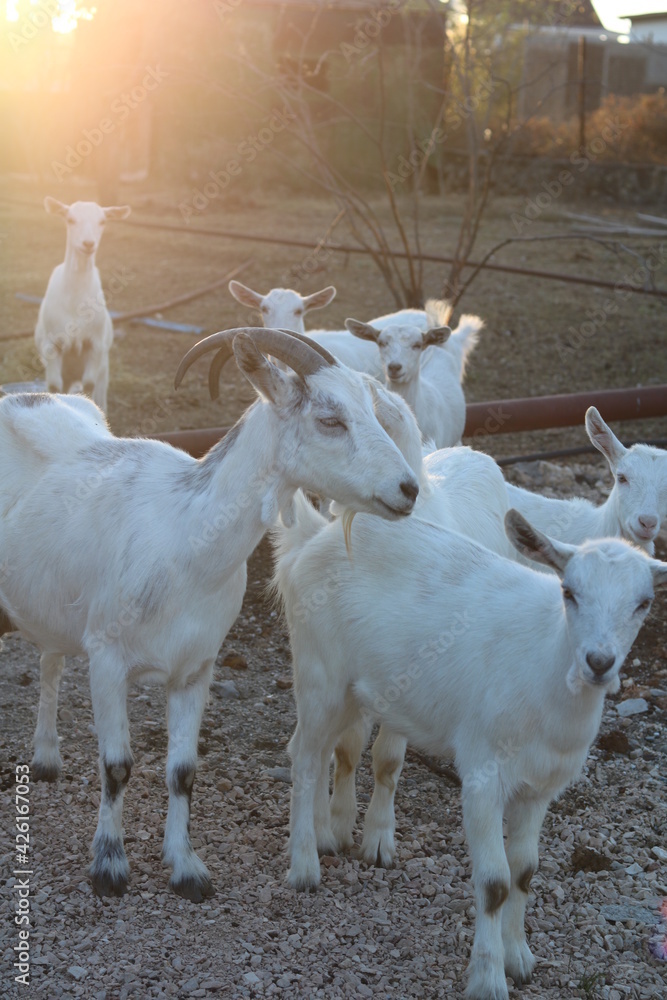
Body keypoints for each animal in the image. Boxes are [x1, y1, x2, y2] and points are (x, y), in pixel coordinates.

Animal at [0, 328, 419, 902]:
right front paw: (109, 868)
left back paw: (45, 760)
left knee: (49, 658)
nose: (408, 489)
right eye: (330, 419)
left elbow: (183, 771)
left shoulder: (196, 668)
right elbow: (117, 765)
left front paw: (187, 870)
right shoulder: (108, 660)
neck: (184, 539)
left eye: (372, 410)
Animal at [35, 198, 131, 413]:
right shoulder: (51, 344)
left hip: (104, 370)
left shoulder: (95, 345)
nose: (88, 243)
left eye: (103, 221)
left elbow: (89, 384)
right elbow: (54, 385)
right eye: (70, 219)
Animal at [273, 499, 666, 1000]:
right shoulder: (482, 772)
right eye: (569, 591)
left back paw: (329, 837)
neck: (546, 664)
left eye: (644, 603)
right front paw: (489, 979)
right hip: (318, 669)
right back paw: (304, 867)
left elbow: (525, 871)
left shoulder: (539, 788)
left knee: (324, 750)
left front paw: (520, 959)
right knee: (303, 754)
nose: (599, 662)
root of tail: (312, 538)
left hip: (354, 688)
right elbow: (496, 882)